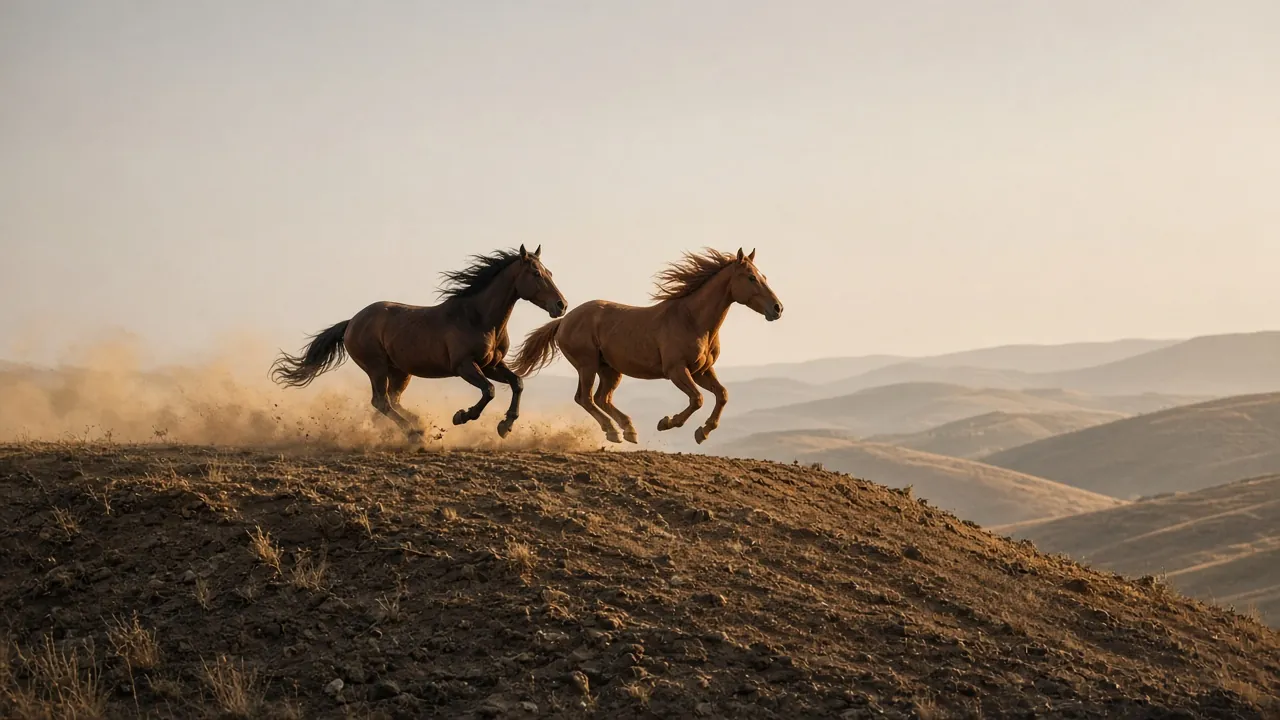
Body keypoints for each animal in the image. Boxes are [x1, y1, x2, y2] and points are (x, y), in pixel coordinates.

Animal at [269, 245, 567, 440]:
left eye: (550, 272)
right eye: (536, 273)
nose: (561, 305)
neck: (479, 318)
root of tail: (352, 321)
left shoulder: (491, 365)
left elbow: (517, 383)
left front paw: (506, 426)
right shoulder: (464, 366)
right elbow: (490, 391)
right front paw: (462, 416)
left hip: (400, 372)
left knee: (391, 401)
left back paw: (416, 422)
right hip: (377, 368)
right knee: (381, 402)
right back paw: (415, 432)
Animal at [509, 247, 782, 445]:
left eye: (764, 277)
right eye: (751, 278)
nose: (778, 308)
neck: (693, 320)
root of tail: (564, 320)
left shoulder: (701, 371)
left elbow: (722, 395)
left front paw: (703, 432)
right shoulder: (677, 370)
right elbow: (698, 399)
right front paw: (668, 422)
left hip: (610, 369)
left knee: (601, 398)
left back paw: (629, 430)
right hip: (587, 365)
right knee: (585, 398)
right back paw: (614, 432)